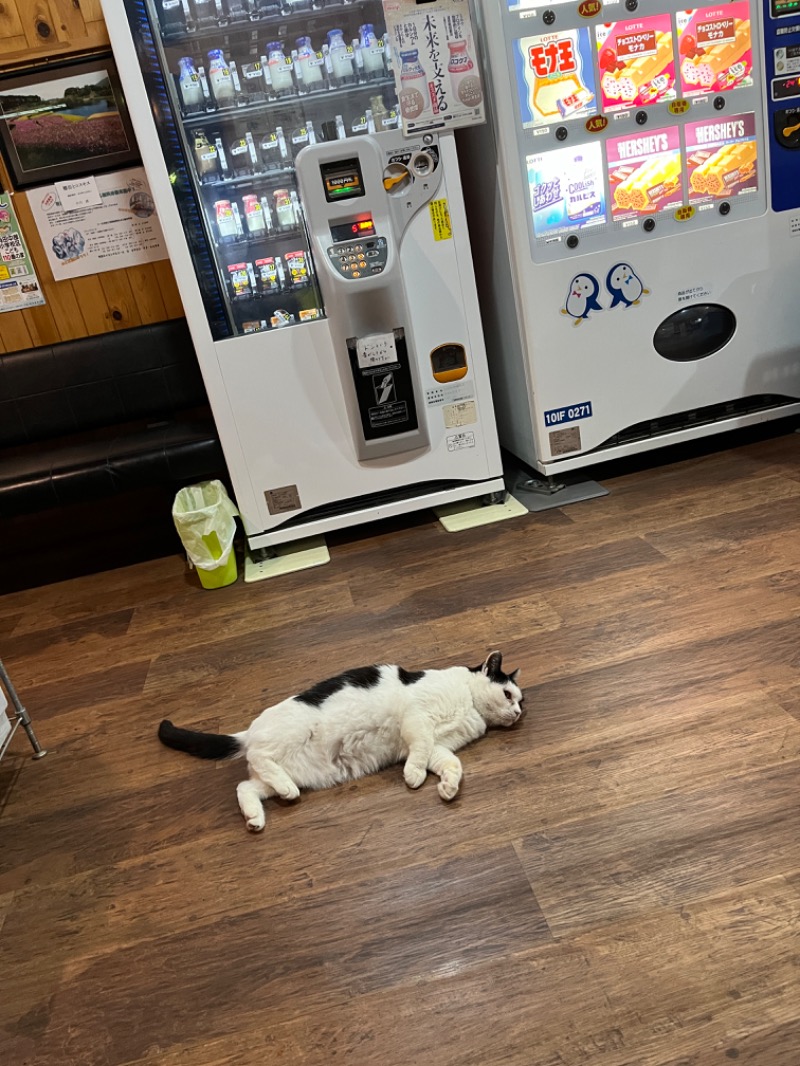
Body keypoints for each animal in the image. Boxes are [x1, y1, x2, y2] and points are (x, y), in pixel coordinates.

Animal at [158, 648, 526, 831]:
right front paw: (414, 776)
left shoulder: (438, 747)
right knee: (260, 757)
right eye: (508, 694)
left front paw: (448, 787)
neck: (470, 707)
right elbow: (420, 748)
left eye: (521, 701)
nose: (519, 713)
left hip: (283, 776)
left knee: (246, 786)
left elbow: (452, 762)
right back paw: (280, 791)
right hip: (291, 732)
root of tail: (249, 731)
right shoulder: (416, 718)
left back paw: (257, 816)